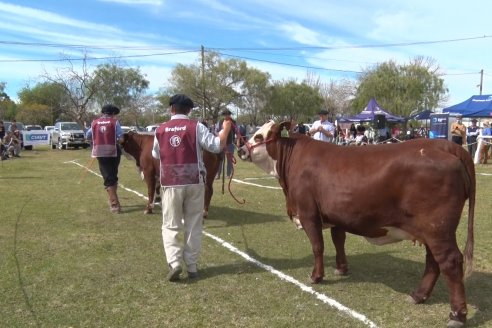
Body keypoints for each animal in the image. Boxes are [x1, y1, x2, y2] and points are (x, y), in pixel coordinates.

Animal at [239, 121, 476, 328]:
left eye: (259, 136)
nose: (241, 149)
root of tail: (446, 145)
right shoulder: (337, 214)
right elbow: (338, 240)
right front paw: (341, 268)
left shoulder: (308, 214)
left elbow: (317, 246)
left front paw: (316, 276)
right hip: (431, 230)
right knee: (433, 261)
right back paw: (418, 296)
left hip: (438, 228)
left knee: (450, 262)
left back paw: (457, 315)